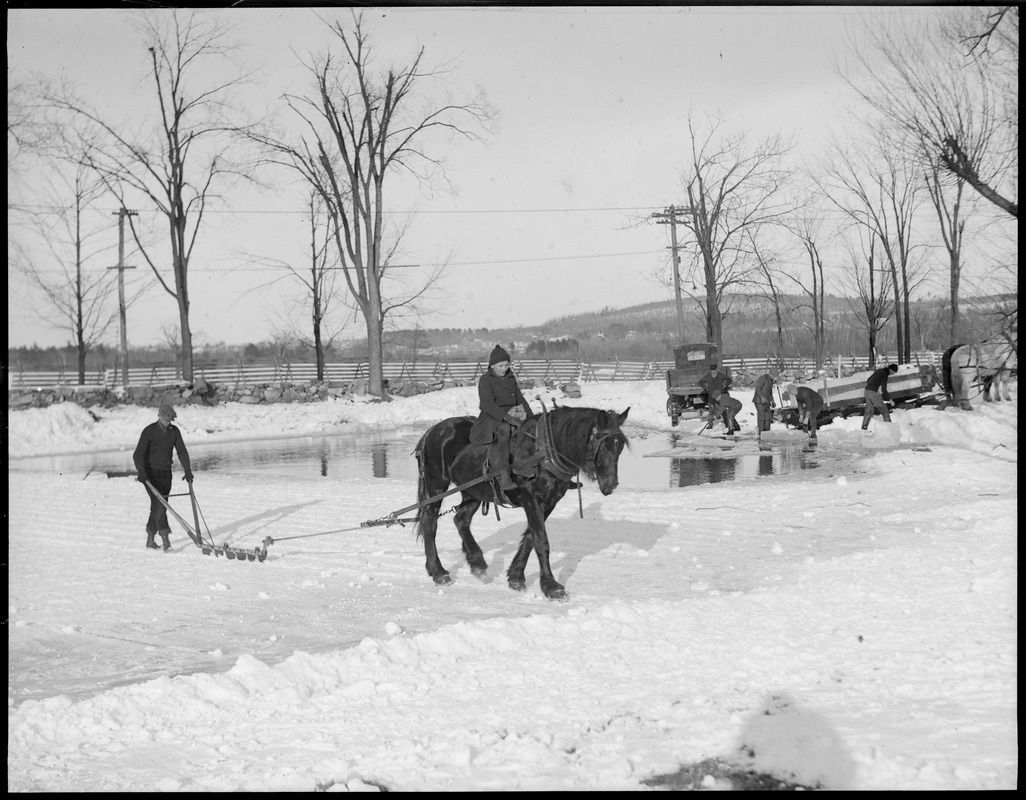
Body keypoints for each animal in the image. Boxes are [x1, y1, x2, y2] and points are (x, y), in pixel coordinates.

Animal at [412, 406, 627, 598]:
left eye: (620, 446)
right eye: (601, 443)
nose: (611, 484)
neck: (544, 453)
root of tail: (433, 430)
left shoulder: (549, 502)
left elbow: (531, 538)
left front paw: (516, 576)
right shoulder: (532, 499)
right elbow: (541, 541)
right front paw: (551, 587)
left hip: (473, 490)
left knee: (461, 520)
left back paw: (477, 561)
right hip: (436, 486)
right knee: (430, 523)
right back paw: (438, 572)